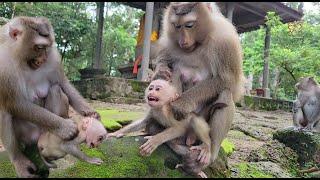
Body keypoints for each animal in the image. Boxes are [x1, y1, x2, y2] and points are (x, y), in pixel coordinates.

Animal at [0, 16, 99, 177]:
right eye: (39, 47)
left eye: (47, 47)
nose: (43, 58)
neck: (21, 59)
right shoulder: (3, 66)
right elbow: (14, 102)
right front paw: (65, 128)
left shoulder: (54, 58)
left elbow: (63, 83)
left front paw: (90, 112)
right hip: (27, 134)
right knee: (4, 112)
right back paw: (18, 160)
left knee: (55, 88)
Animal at [152, 1, 245, 165]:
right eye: (177, 26)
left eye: (189, 25)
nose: (182, 41)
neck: (199, 43)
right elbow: (165, 60)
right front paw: (161, 70)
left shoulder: (225, 40)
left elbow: (227, 80)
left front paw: (182, 103)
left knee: (225, 94)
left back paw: (210, 151)